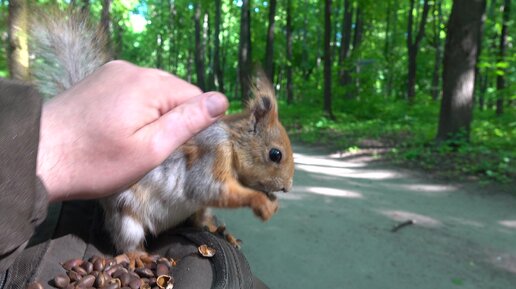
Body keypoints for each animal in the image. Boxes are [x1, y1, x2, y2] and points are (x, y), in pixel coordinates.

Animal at [29, 8, 294, 252]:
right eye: (275, 154)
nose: (288, 188)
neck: (231, 140)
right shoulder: (212, 152)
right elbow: (207, 188)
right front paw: (261, 202)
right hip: (125, 216)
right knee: (127, 242)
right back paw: (139, 257)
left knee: (199, 219)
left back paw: (217, 230)